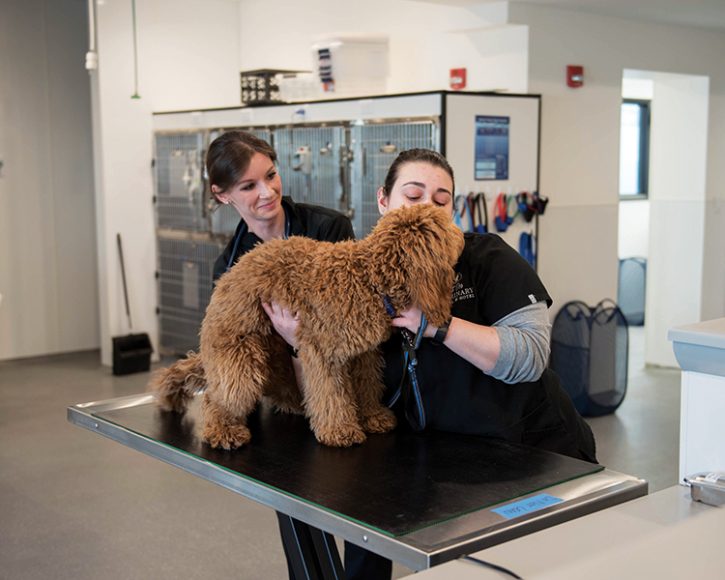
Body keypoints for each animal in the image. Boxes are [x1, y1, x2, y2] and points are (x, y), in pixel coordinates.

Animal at [148, 204, 464, 448]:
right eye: (446, 224)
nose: (462, 234)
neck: (370, 279)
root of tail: (224, 281)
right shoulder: (322, 352)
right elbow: (330, 393)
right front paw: (339, 430)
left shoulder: (363, 354)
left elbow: (366, 384)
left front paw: (372, 415)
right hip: (241, 355)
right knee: (218, 396)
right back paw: (223, 429)